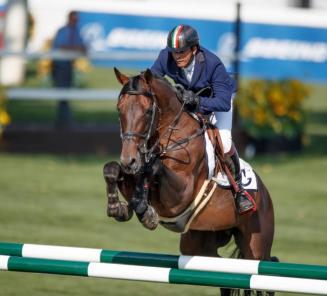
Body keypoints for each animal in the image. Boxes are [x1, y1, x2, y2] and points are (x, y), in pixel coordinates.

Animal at [103, 68, 276, 294]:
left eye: (148, 111)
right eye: (119, 109)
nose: (129, 160)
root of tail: (266, 195)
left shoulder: (180, 196)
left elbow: (154, 169)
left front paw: (145, 212)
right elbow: (112, 169)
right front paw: (119, 208)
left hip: (255, 246)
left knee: (264, 270)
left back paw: (243, 201)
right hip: (199, 241)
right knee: (222, 269)